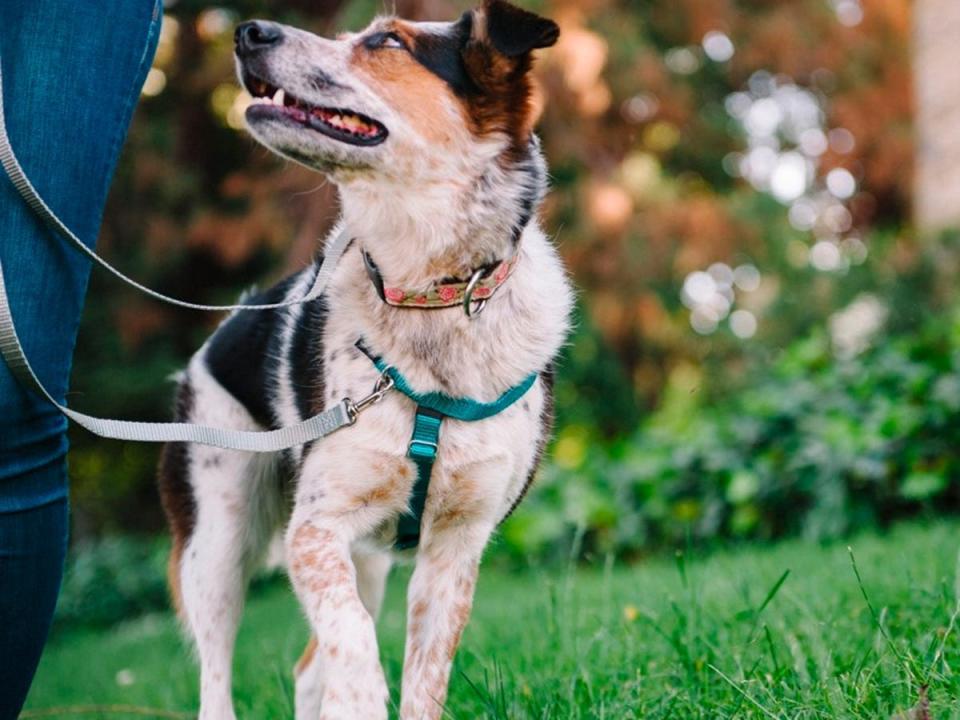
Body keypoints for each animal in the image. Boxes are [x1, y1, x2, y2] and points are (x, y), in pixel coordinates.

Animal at [159, 2, 568, 716]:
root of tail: (231, 320)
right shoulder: (314, 531)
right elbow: (352, 645)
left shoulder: (455, 549)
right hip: (218, 538)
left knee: (306, 667)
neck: (430, 298)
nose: (248, 31)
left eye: (388, 43)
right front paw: (363, 695)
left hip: (367, 558)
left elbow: (422, 679)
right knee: (219, 679)